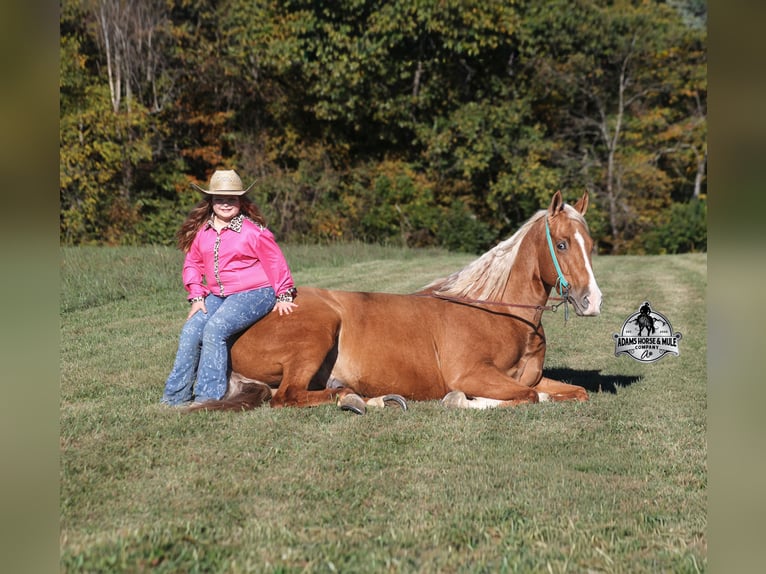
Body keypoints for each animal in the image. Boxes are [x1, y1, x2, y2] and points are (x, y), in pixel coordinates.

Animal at [189, 190, 602, 414]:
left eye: (591, 244)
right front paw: (458, 401)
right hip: (317, 335)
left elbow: (572, 392)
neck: (498, 314)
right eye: (561, 244)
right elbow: (529, 397)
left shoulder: (529, 378)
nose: (592, 301)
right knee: (289, 397)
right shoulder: (472, 375)